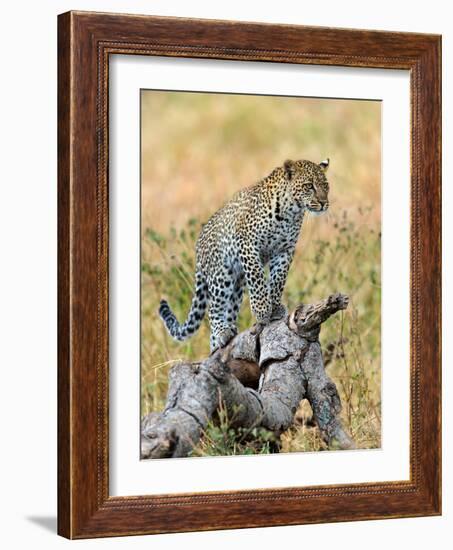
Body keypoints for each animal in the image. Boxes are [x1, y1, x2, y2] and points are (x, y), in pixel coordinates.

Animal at [159, 158, 328, 354]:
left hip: (237, 284)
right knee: (214, 308)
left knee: (229, 309)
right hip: (221, 275)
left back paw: (222, 339)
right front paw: (262, 311)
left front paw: (275, 307)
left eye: (326, 185)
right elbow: (258, 280)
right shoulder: (248, 244)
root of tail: (198, 247)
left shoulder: (284, 251)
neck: (291, 212)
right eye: (309, 186)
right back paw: (222, 332)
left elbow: (278, 280)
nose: (324, 202)